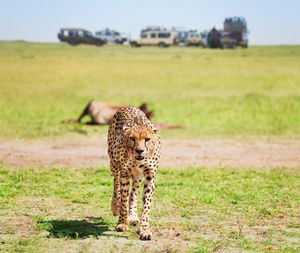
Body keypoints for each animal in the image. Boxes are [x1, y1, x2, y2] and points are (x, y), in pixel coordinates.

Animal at [106, 106, 161, 239]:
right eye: (132, 138)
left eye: (147, 139)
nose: (139, 150)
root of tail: (128, 107)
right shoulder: (125, 174)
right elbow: (123, 200)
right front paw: (122, 223)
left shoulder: (149, 176)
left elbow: (146, 205)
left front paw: (144, 230)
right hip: (114, 163)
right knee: (116, 184)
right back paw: (115, 206)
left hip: (138, 177)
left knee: (134, 193)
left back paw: (133, 216)